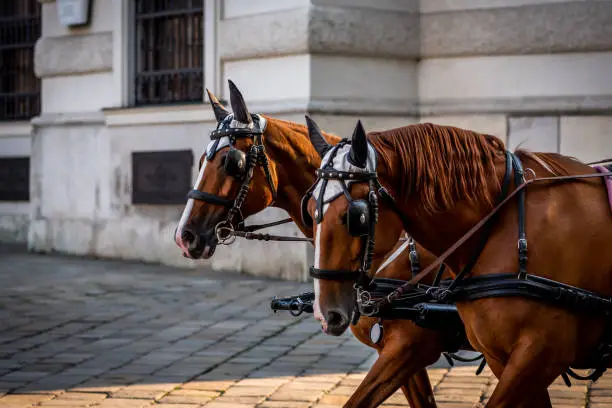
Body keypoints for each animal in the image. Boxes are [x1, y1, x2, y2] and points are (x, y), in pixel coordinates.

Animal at [306, 116, 612, 406]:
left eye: (355, 217)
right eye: (309, 211)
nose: (325, 313)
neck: (501, 224)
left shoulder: (542, 354)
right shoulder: (502, 358)